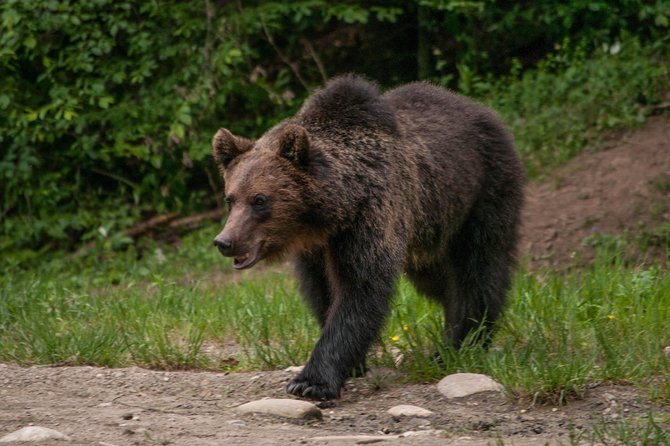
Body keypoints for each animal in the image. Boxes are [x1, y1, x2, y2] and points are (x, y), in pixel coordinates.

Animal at [211, 74, 524, 400]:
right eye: (230, 199)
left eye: (260, 200)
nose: (225, 241)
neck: (331, 212)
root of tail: (483, 110)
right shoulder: (316, 249)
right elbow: (322, 292)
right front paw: (353, 364)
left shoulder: (371, 217)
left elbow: (360, 289)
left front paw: (311, 381)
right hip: (429, 227)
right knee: (438, 278)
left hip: (482, 191)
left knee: (478, 267)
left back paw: (461, 344)